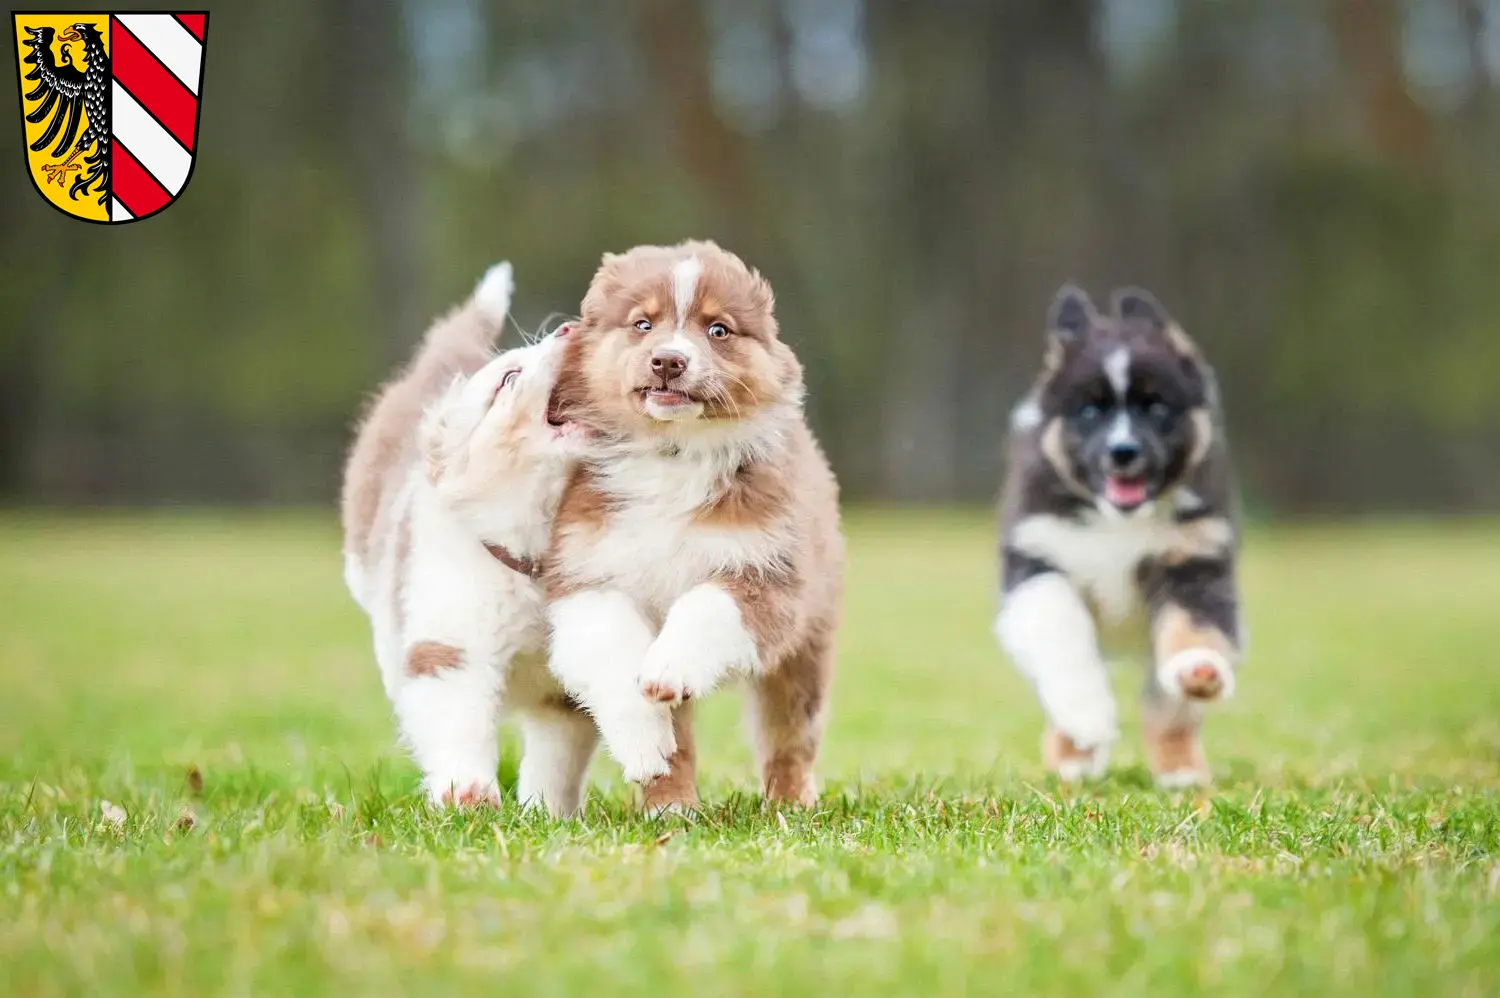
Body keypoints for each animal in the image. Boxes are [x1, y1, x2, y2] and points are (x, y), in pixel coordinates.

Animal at [343, 264, 594, 810]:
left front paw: (547, 810)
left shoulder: (565, 683)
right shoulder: (450, 641)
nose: (572, 327)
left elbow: (559, 751)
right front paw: (469, 797)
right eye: (509, 378)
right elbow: (457, 721)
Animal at [543, 241, 846, 810]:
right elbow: (612, 649)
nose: (668, 360)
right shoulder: (585, 573)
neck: (672, 452)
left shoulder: (766, 569)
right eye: (642, 324)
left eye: (719, 329)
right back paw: (670, 807)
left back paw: (790, 803)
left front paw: (670, 666)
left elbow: (707, 606)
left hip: (808, 645)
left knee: (790, 733)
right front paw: (643, 744)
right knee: (680, 743)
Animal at [996, 283, 1242, 792]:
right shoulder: (1036, 558)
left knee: (1166, 709)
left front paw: (1200, 667)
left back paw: (1181, 771)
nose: (1122, 451)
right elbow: (1060, 633)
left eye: (1157, 406)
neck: (1117, 523)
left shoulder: (1196, 559)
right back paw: (1074, 758)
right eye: (1089, 410)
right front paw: (1086, 716)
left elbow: (1195, 628)